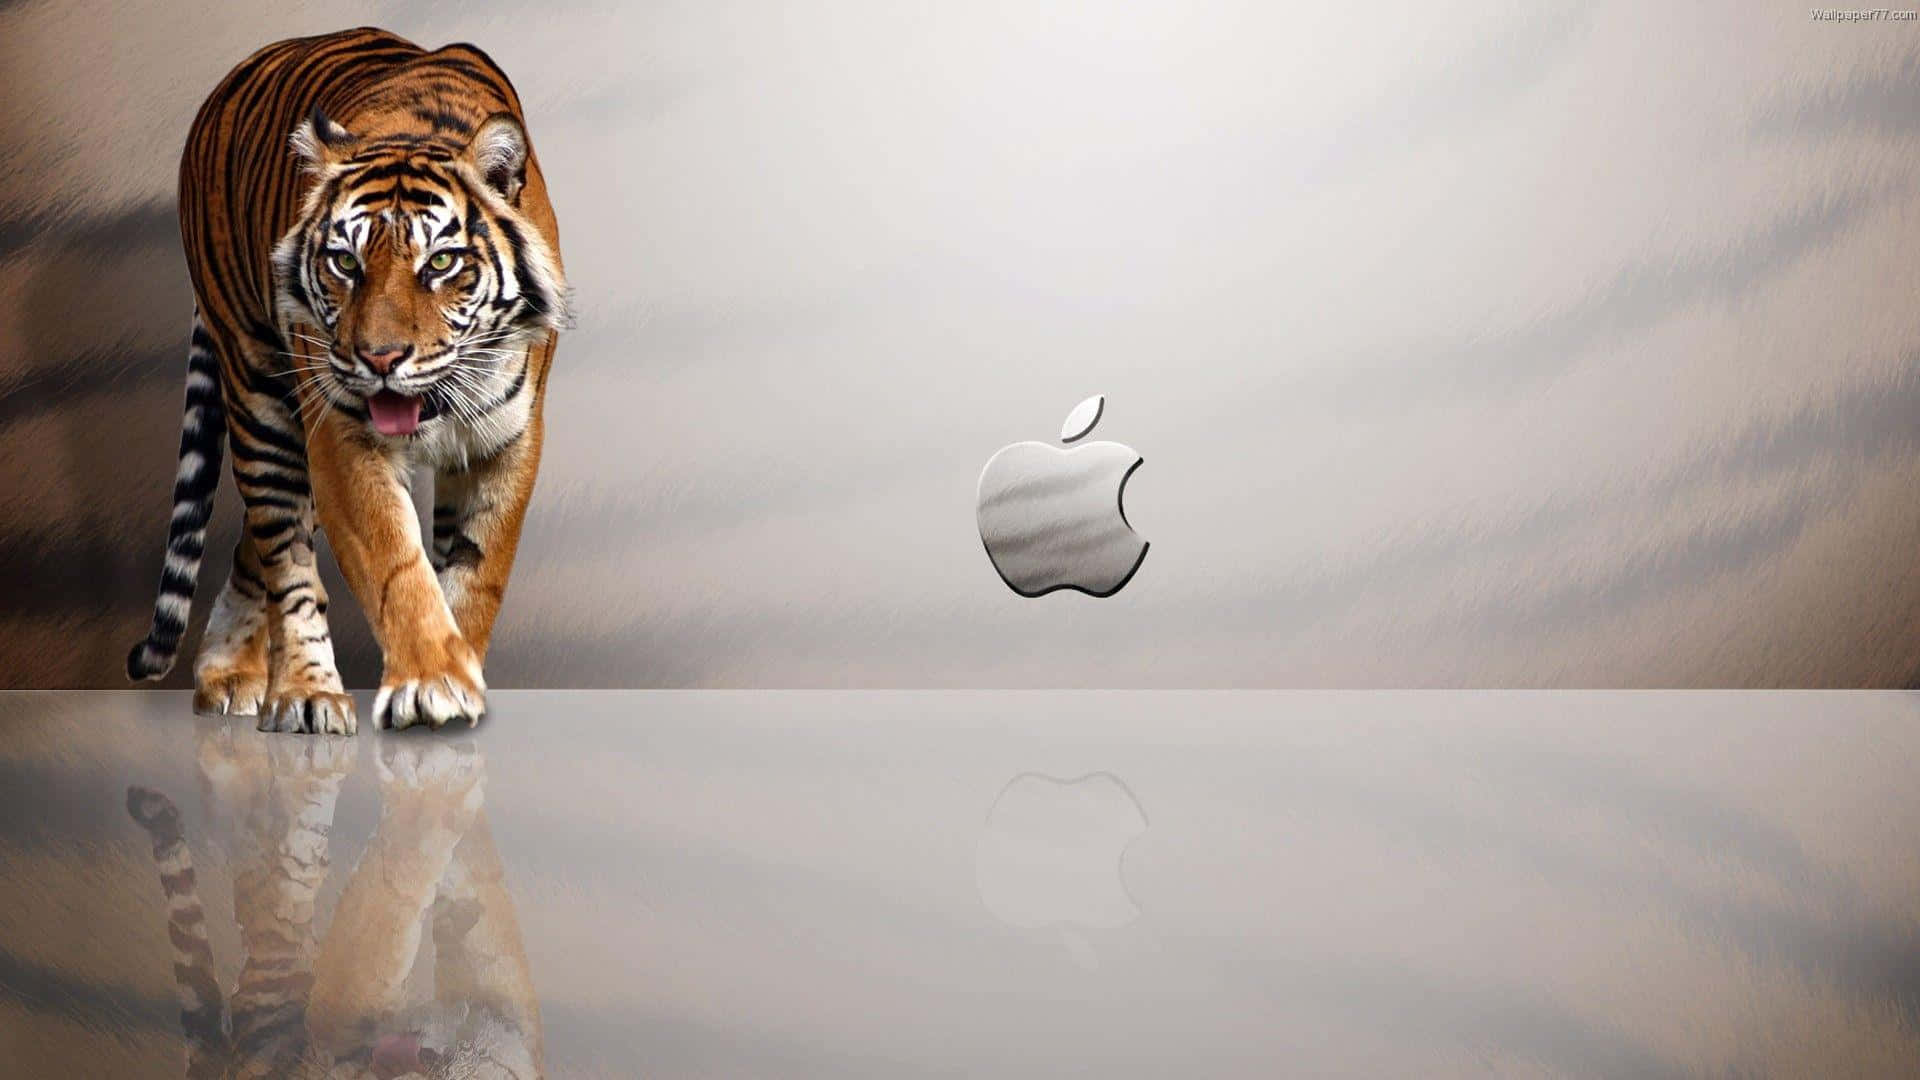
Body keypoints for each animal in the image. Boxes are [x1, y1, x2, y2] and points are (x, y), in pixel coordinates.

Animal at [123, 27, 569, 734]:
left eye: (440, 263)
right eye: (345, 263)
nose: (380, 358)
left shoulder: (510, 438)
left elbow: (477, 569)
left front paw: (460, 671)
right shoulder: (340, 434)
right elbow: (395, 566)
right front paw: (431, 680)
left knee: (256, 548)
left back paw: (230, 670)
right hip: (260, 399)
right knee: (284, 556)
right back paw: (299, 692)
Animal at [125, 732, 544, 1078]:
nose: (405, 1056)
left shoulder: (336, 1022)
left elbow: (393, 890)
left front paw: (432, 787)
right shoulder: (502, 1001)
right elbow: (484, 892)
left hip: (284, 954)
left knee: (272, 872)